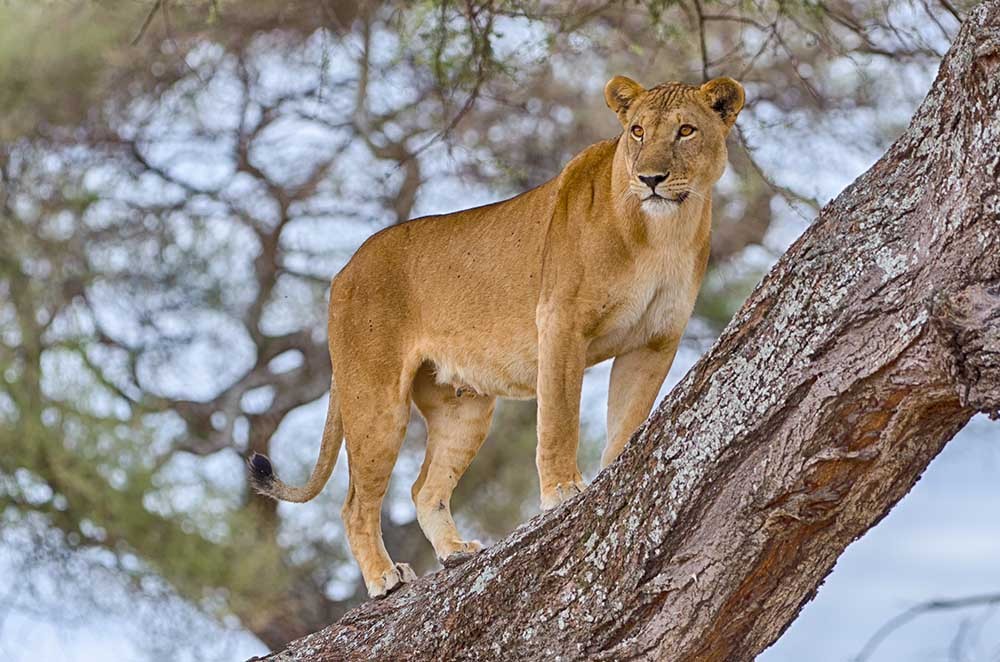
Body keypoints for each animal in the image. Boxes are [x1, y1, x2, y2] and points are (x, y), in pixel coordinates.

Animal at [248, 75, 745, 598]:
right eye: (637, 131)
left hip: (463, 407)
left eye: (686, 131)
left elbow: (627, 419)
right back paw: (384, 578)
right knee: (355, 505)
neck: (662, 233)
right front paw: (562, 491)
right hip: (375, 399)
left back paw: (454, 553)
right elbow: (559, 418)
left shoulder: (654, 341)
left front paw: (616, 474)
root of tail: (344, 271)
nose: (650, 178)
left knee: (424, 489)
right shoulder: (561, 322)